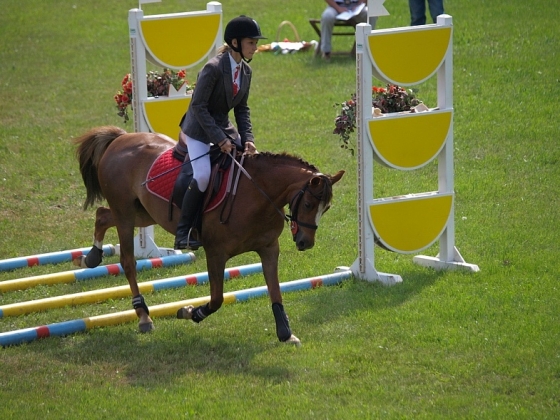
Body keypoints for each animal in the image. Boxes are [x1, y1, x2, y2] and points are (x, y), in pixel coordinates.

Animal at [72, 126, 344, 346]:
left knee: (102, 215)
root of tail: (121, 138)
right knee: (128, 261)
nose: (305, 243)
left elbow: (275, 291)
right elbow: (217, 298)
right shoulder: (216, 253)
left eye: (327, 208)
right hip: (126, 215)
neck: (257, 196)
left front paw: (286, 334)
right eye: (308, 204)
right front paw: (190, 312)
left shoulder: (269, 249)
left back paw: (91, 257)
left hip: (144, 213)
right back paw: (143, 316)